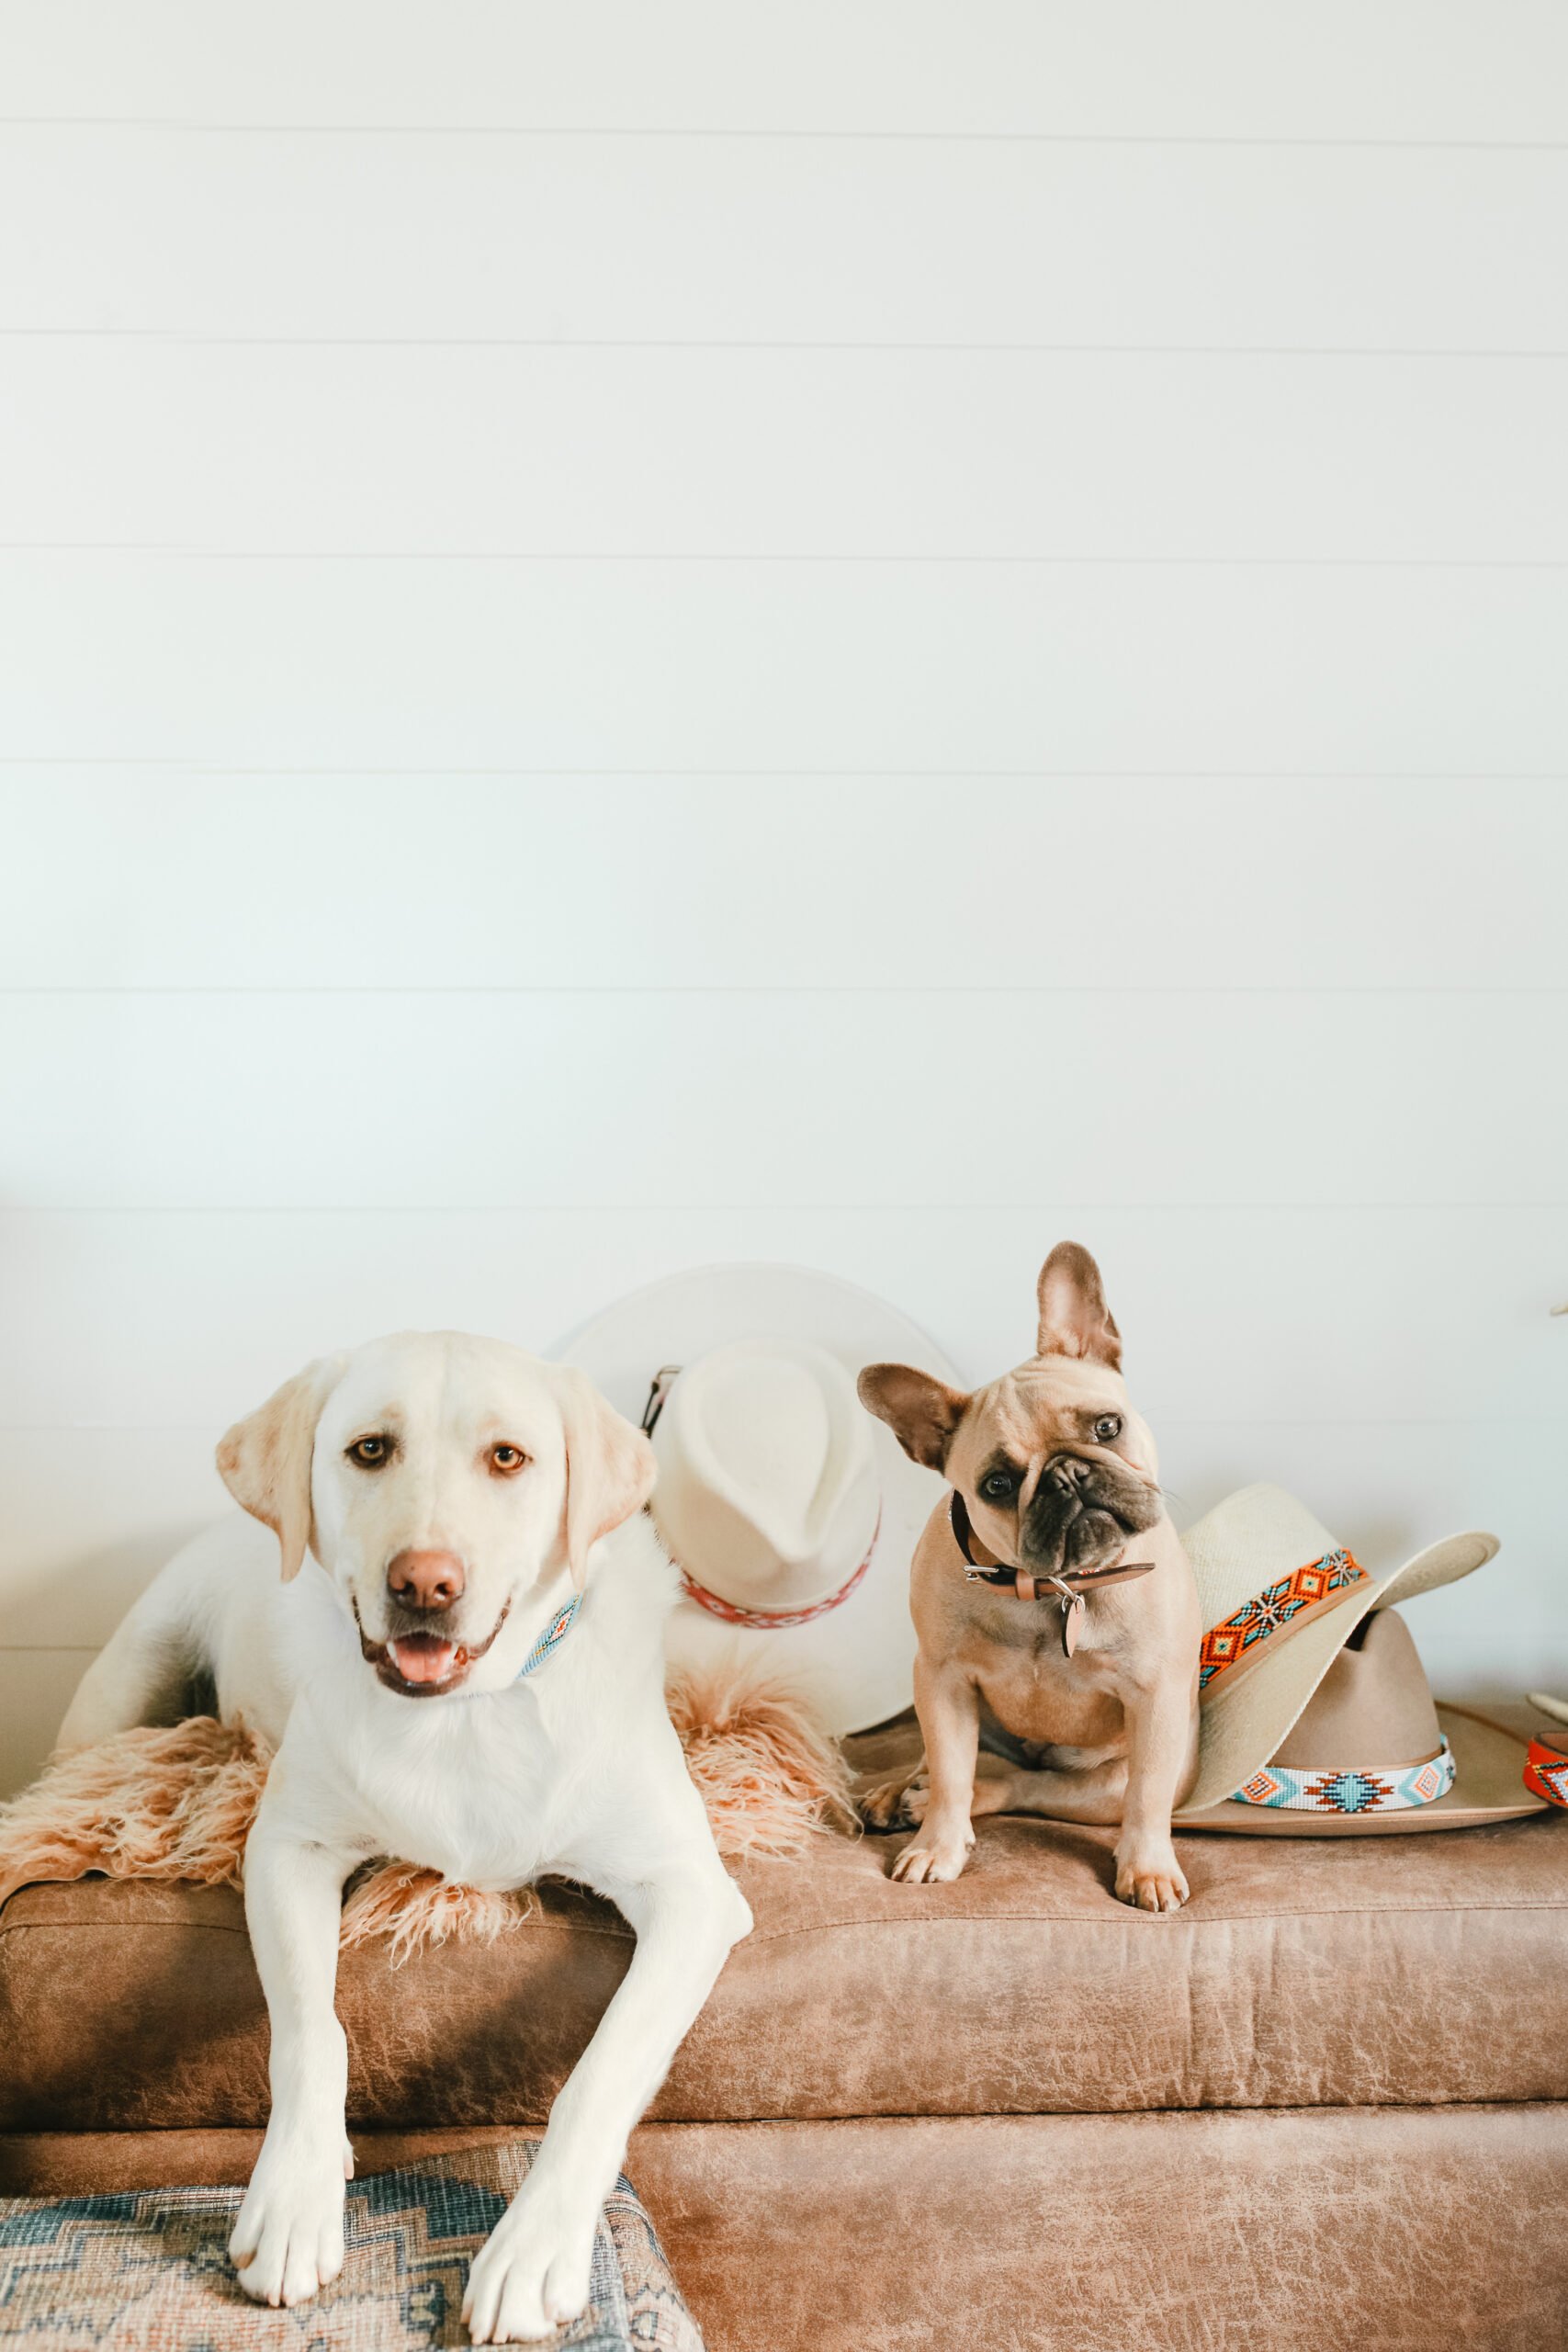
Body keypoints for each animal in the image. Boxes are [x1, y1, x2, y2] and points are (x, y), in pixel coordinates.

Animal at [58, 1336, 751, 2342]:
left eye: (508, 1457)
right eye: (370, 1450)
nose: (424, 1584)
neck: (460, 1717)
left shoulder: (693, 1891)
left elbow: (601, 2070)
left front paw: (534, 2248)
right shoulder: (287, 1849)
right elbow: (311, 2032)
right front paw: (294, 2199)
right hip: (123, 1685)